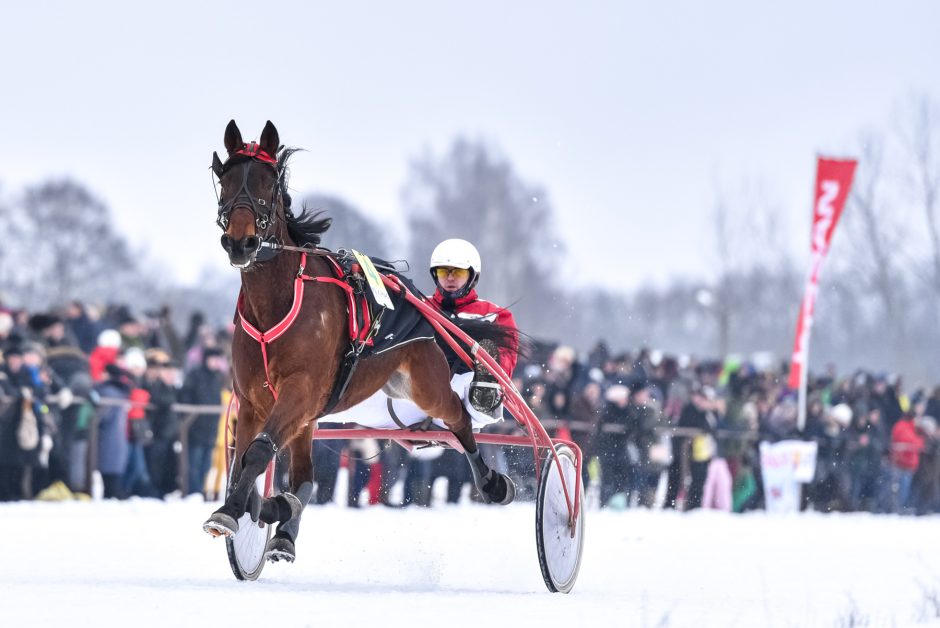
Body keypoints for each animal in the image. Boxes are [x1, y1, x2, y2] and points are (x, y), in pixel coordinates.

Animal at [202, 120, 516, 560]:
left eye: (268, 182)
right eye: (226, 181)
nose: (240, 242)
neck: (276, 303)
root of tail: (422, 303)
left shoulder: (301, 389)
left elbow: (258, 452)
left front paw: (237, 510)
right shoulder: (254, 400)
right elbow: (247, 460)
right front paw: (245, 507)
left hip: (425, 385)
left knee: (460, 419)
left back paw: (492, 482)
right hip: (327, 411)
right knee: (305, 476)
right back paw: (284, 527)